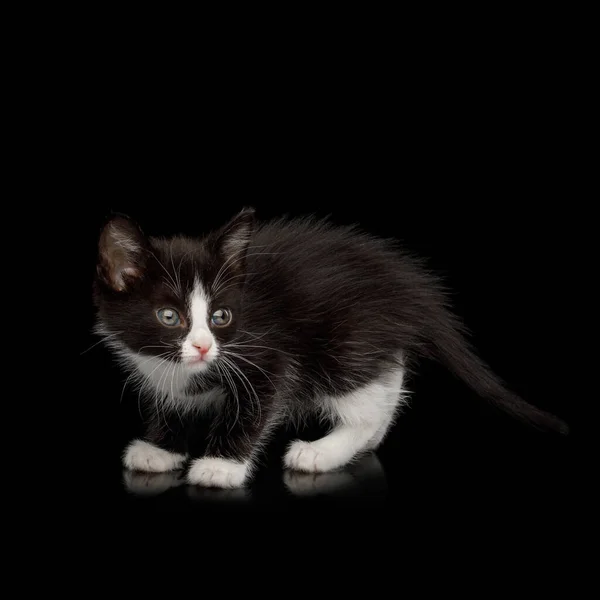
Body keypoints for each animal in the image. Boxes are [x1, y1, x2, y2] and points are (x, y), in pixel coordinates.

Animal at [92, 206, 568, 488]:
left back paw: (323, 451)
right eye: (169, 317)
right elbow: (171, 399)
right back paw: (368, 439)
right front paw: (161, 448)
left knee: (365, 392)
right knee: (389, 374)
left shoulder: (267, 354)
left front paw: (222, 465)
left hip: (343, 342)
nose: (205, 348)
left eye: (220, 316)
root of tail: (411, 289)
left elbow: (257, 406)